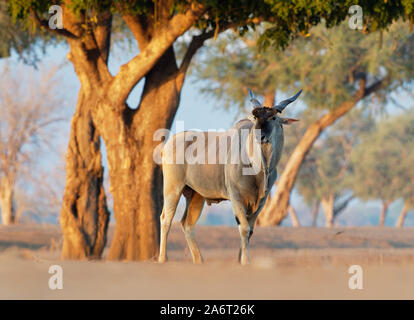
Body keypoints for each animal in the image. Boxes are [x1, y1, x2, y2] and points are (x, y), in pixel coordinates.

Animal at [158, 88, 300, 264]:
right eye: (255, 118)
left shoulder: (260, 202)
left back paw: (199, 261)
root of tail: (168, 144)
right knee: (166, 219)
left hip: (196, 196)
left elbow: (250, 231)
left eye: (273, 117)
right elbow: (244, 229)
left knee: (187, 223)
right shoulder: (236, 198)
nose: (259, 137)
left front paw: (241, 261)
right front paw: (245, 261)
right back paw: (162, 259)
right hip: (173, 189)